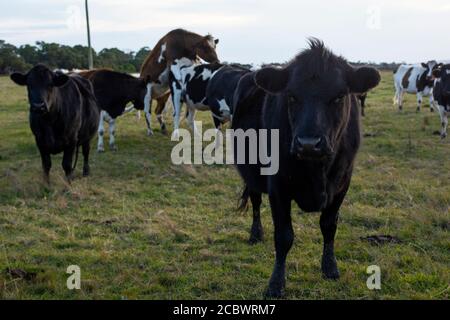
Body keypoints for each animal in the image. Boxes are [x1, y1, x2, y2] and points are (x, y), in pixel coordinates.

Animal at [232, 40, 380, 298]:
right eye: (291, 96)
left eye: (339, 96)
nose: (309, 144)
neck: (316, 170)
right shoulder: (277, 187)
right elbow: (283, 237)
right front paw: (276, 283)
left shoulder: (342, 184)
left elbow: (329, 226)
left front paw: (330, 268)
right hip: (251, 173)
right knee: (255, 201)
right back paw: (255, 233)